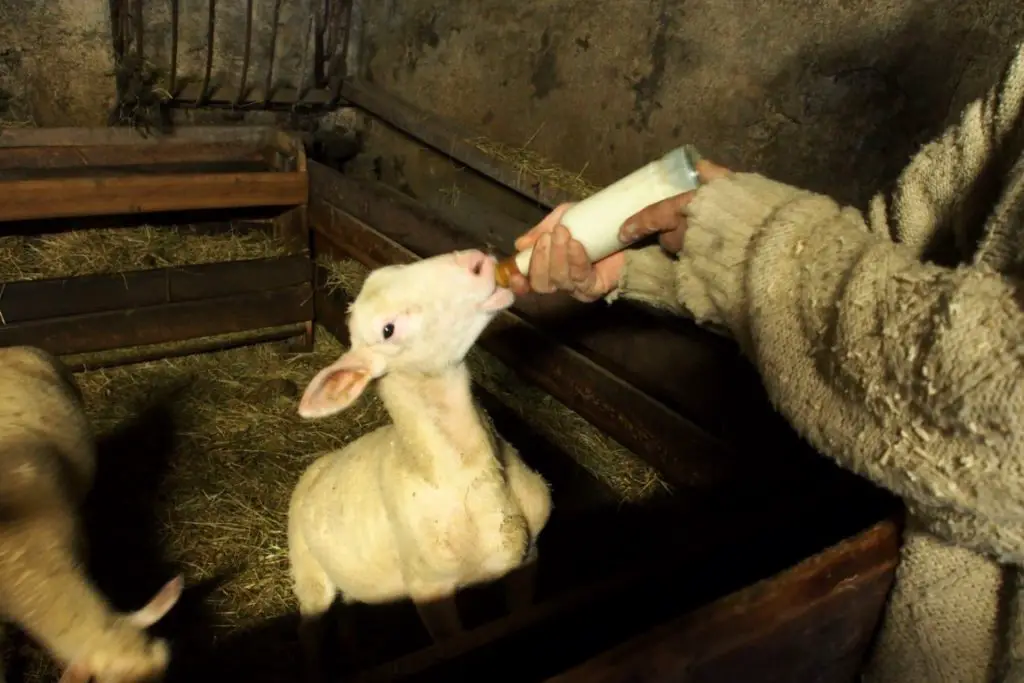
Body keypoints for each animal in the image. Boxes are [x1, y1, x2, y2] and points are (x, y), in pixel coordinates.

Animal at [288, 248, 552, 675]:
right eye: (388, 330)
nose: (475, 261)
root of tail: (319, 465)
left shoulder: (528, 558)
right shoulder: (431, 592)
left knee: (347, 609)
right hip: (308, 571)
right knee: (309, 627)